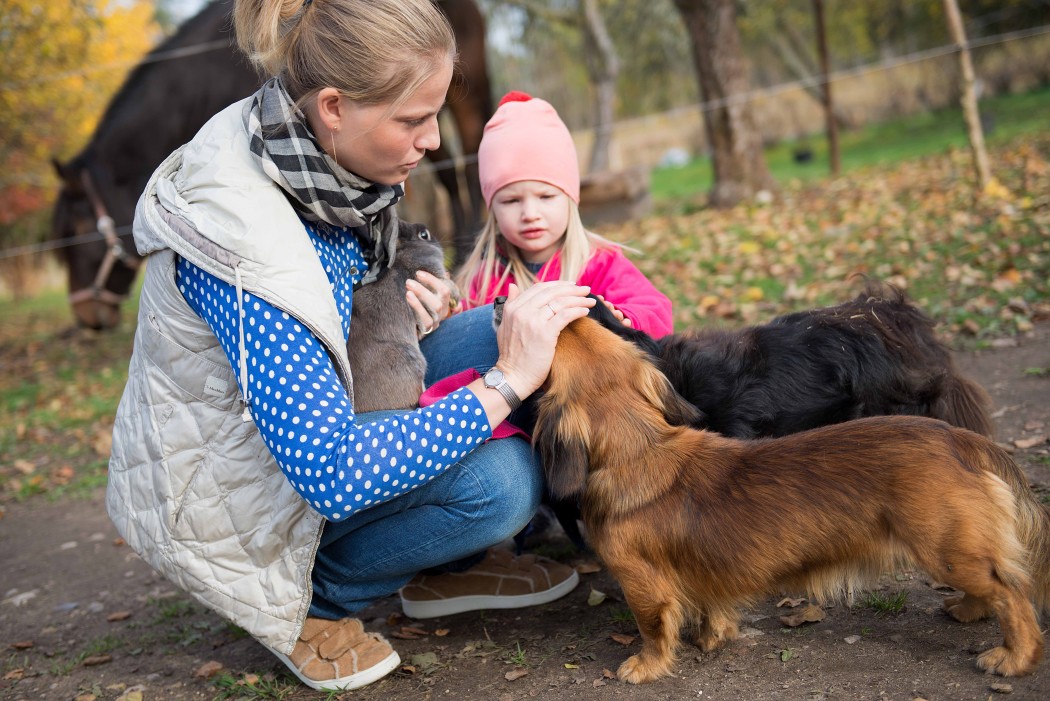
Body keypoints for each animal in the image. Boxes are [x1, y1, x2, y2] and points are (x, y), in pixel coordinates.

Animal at [55, 0, 497, 329]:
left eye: (77, 230)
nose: (86, 315)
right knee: (448, 174)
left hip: (461, 94)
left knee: (470, 156)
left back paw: (469, 244)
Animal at [533, 316, 1050, 684]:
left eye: (556, 344)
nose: (573, 310)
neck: (642, 449)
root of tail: (957, 439)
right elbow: (711, 608)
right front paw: (711, 639)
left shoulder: (641, 582)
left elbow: (654, 627)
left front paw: (645, 666)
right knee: (994, 586)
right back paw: (968, 610)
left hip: (944, 550)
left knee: (1011, 594)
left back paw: (1012, 657)